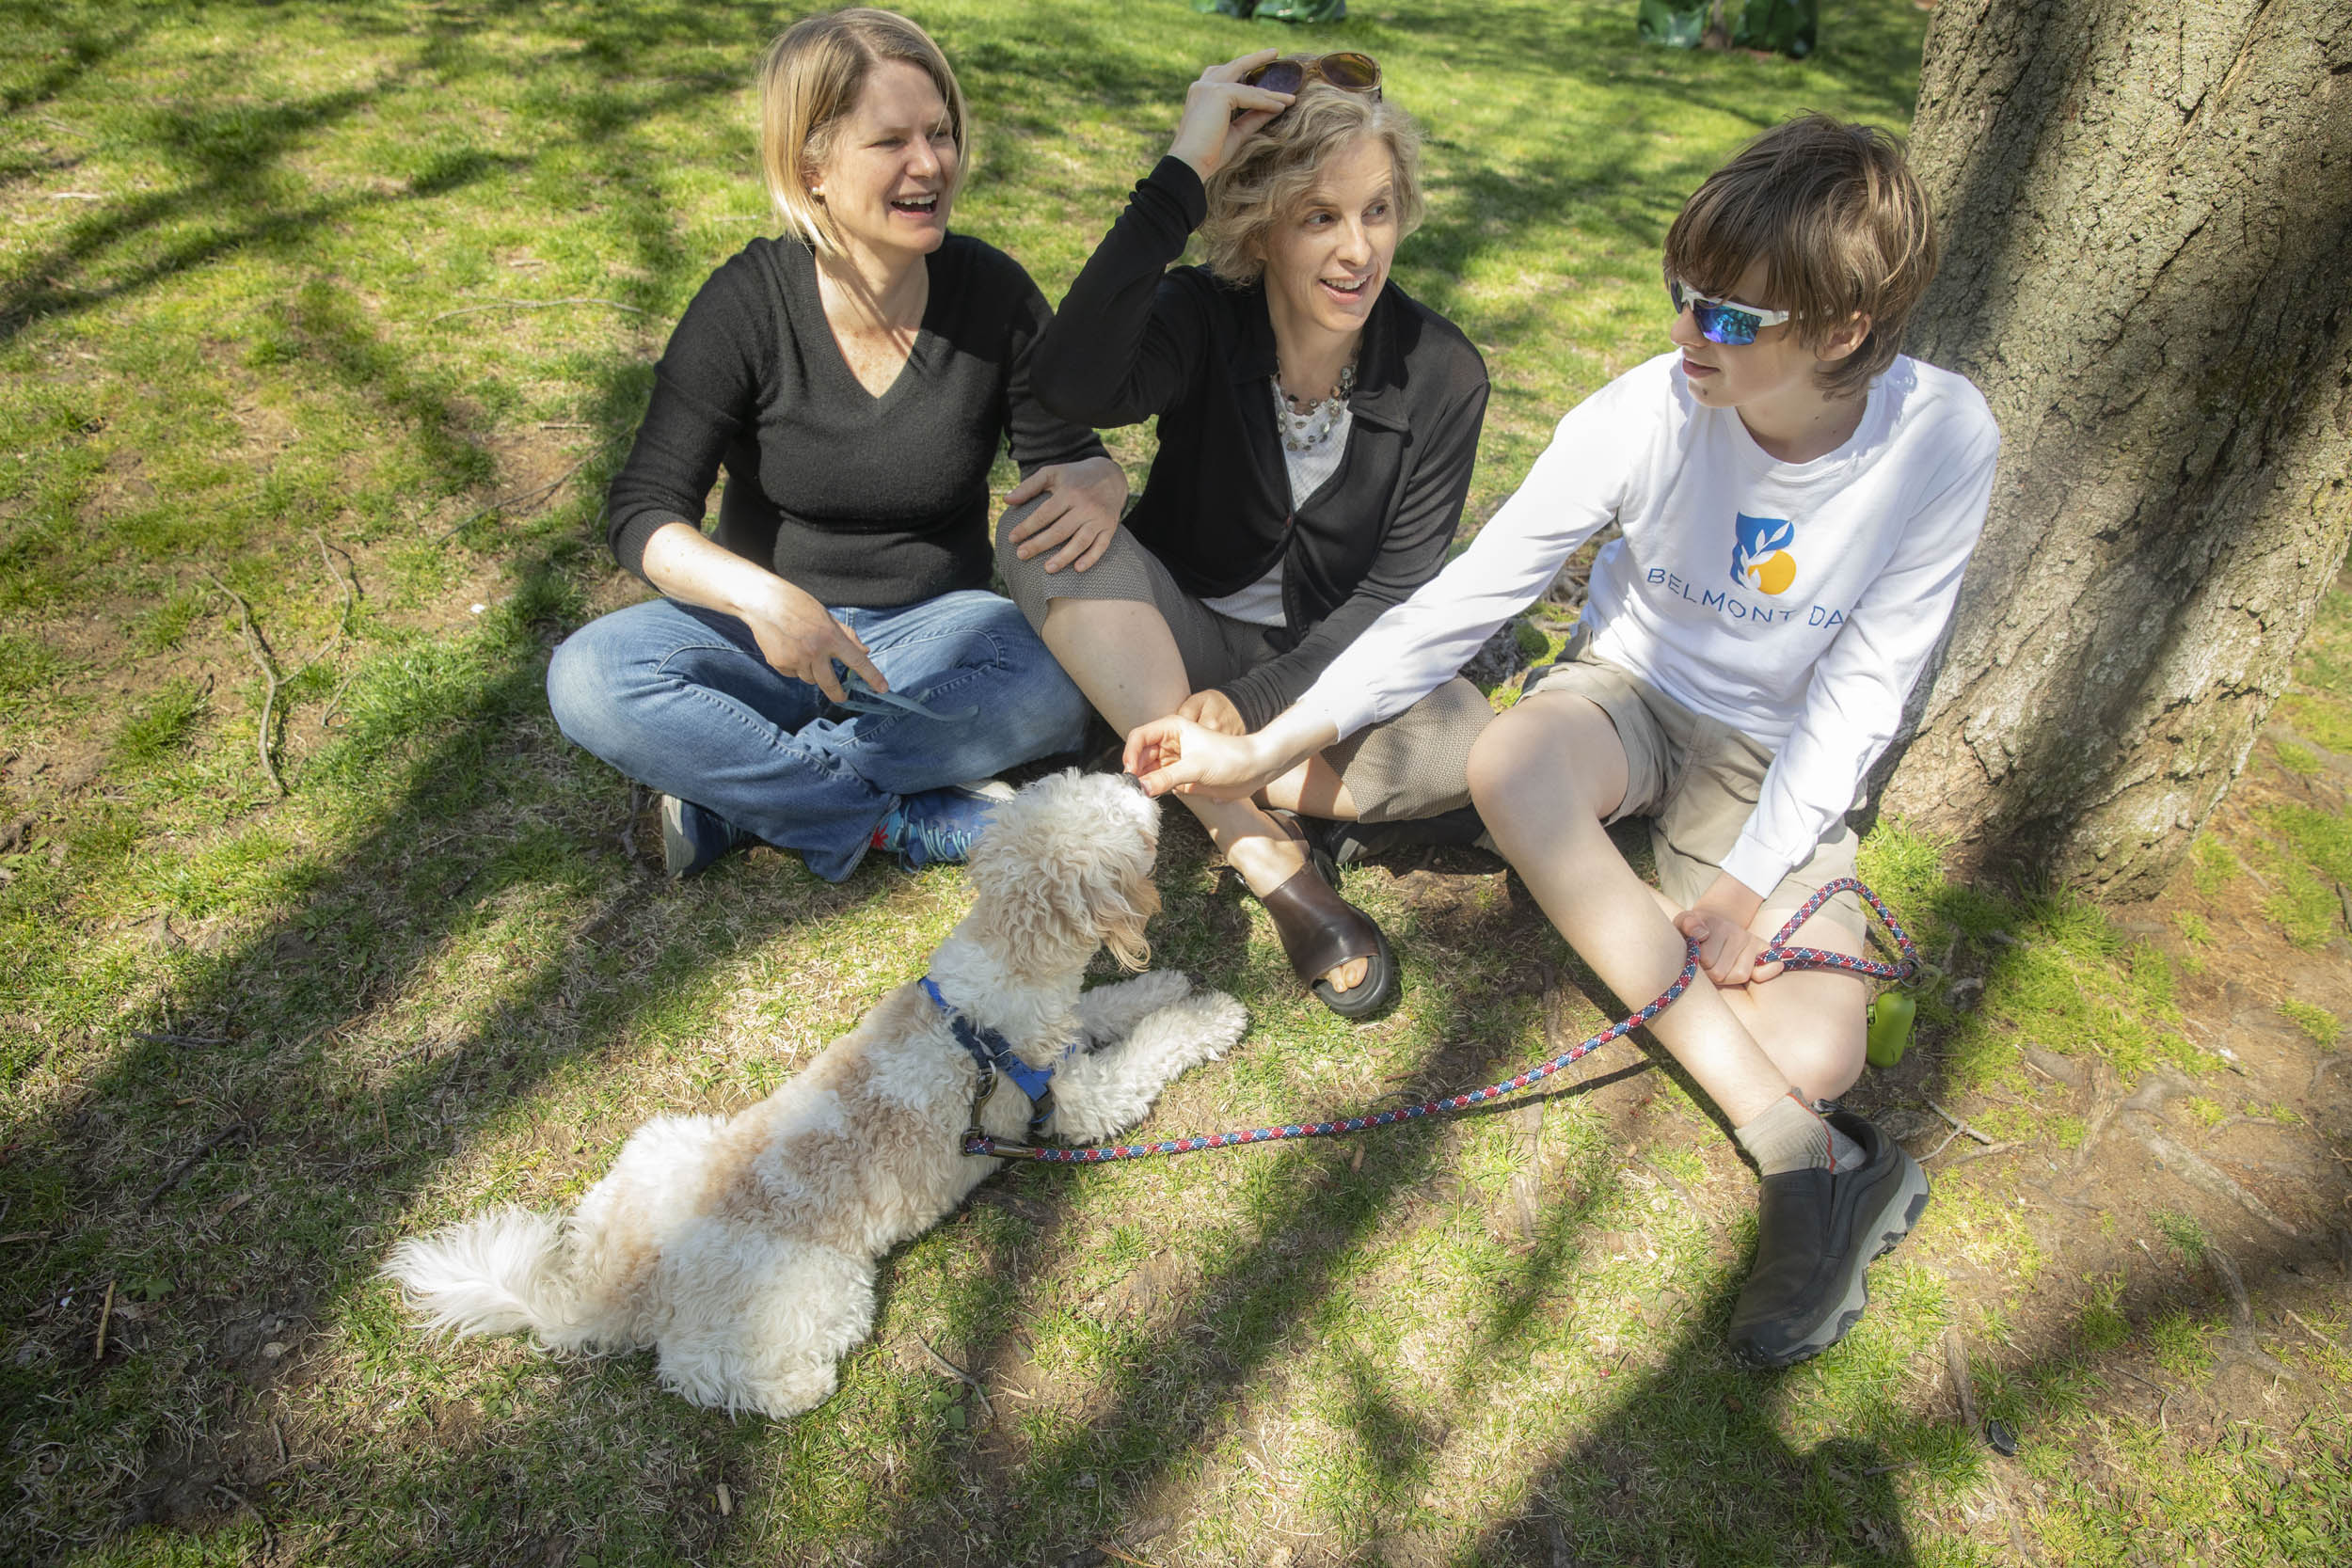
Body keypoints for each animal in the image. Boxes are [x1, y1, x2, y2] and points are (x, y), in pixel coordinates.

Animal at [381, 770, 1251, 1419]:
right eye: (1113, 811)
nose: (1139, 775)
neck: (990, 997)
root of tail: (620, 1285)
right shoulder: (1075, 1099)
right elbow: (1148, 1052)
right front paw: (1213, 1013)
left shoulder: (1064, 1034)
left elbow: (1112, 1005)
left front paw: (1165, 986)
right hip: (821, 1291)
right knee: (694, 1367)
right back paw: (795, 1387)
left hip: (657, 1142)